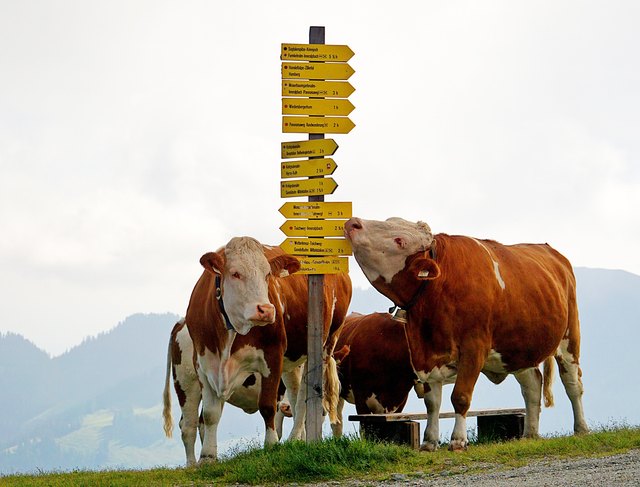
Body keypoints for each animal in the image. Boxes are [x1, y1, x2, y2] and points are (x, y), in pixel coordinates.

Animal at [164, 318, 296, 468]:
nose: (286, 407)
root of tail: (181, 322)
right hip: (187, 382)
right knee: (188, 425)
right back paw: (192, 465)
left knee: (202, 422)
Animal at [181, 236, 350, 462]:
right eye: (235, 273)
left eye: (267, 274)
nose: (266, 310)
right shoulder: (203, 363)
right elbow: (209, 414)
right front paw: (207, 457)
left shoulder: (273, 355)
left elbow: (268, 406)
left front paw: (271, 445)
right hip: (293, 360)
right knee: (295, 393)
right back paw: (299, 438)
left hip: (326, 344)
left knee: (304, 397)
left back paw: (294, 437)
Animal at [344, 218, 592, 454]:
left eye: (400, 240)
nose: (353, 222)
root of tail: (549, 249)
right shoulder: (427, 355)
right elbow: (432, 403)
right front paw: (429, 442)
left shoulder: (474, 347)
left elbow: (460, 396)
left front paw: (458, 441)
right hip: (517, 348)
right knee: (532, 385)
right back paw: (529, 434)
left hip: (569, 336)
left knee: (573, 383)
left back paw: (581, 429)